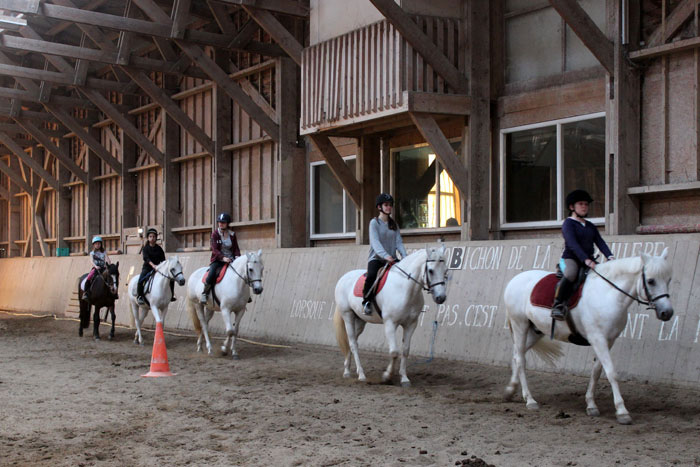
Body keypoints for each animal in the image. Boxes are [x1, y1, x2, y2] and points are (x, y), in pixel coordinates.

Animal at [332, 245, 448, 388]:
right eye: (431, 271)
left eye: (445, 270)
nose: (441, 298)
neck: (405, 288)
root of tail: (343, 278)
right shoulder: (390, 323)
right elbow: (394, 352)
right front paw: (387, 376)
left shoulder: (411, 324)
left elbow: (405, 350)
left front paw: (404, 378)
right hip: (348, 315)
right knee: (353, 343)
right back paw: (361, 375)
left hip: (360, 321)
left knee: (351, 341)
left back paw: (347, 370)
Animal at [504, 250, 672, 426]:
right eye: (651, 281)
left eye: (669, 279)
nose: (667, 313)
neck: (608, 294)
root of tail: (515, 280)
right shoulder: (598, 339)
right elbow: (611, 372)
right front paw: (622, 411)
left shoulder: (609, 340)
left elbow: (596, 371)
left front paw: (591, 405)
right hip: (520, 325)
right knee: (521, 360)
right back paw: (530, 400)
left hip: (535, 331)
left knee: (517, 355)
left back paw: (510, 390)